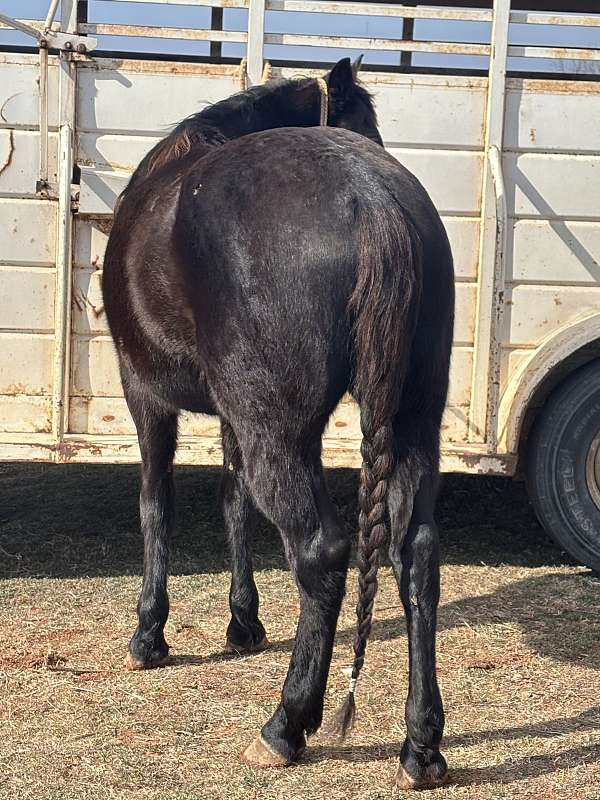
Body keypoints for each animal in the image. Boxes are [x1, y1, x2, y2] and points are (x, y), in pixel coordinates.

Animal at [102, 58, 454, 791]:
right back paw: (421, 747)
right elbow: (234, 502)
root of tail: (373, 200)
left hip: (281, 434)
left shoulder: (146, 395)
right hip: (410, 420)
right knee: (416, 554)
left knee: (320, 551)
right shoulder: (233, 417)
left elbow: (156, 505)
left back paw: (284, 726)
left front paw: (149, 636)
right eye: (363, 121)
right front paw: (244, 623)